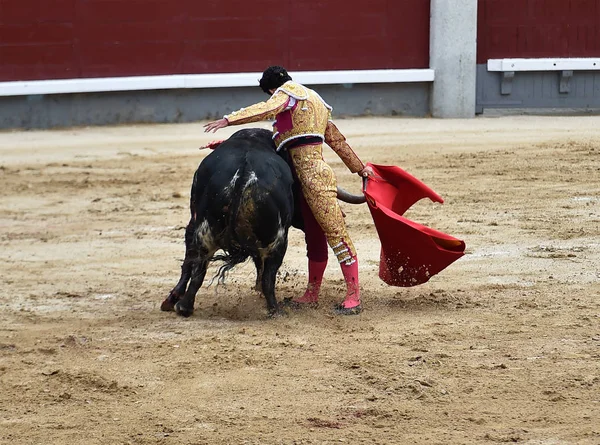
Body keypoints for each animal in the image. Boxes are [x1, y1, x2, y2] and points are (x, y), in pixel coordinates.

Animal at [162, 128, 364, 316]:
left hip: (207, 234)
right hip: (272, 240)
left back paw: (184, 306)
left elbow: (188, 262)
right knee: (264, 275)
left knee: (199, 268)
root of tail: (243, 176)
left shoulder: (193, 222)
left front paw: (171, 299)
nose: (341, 214)